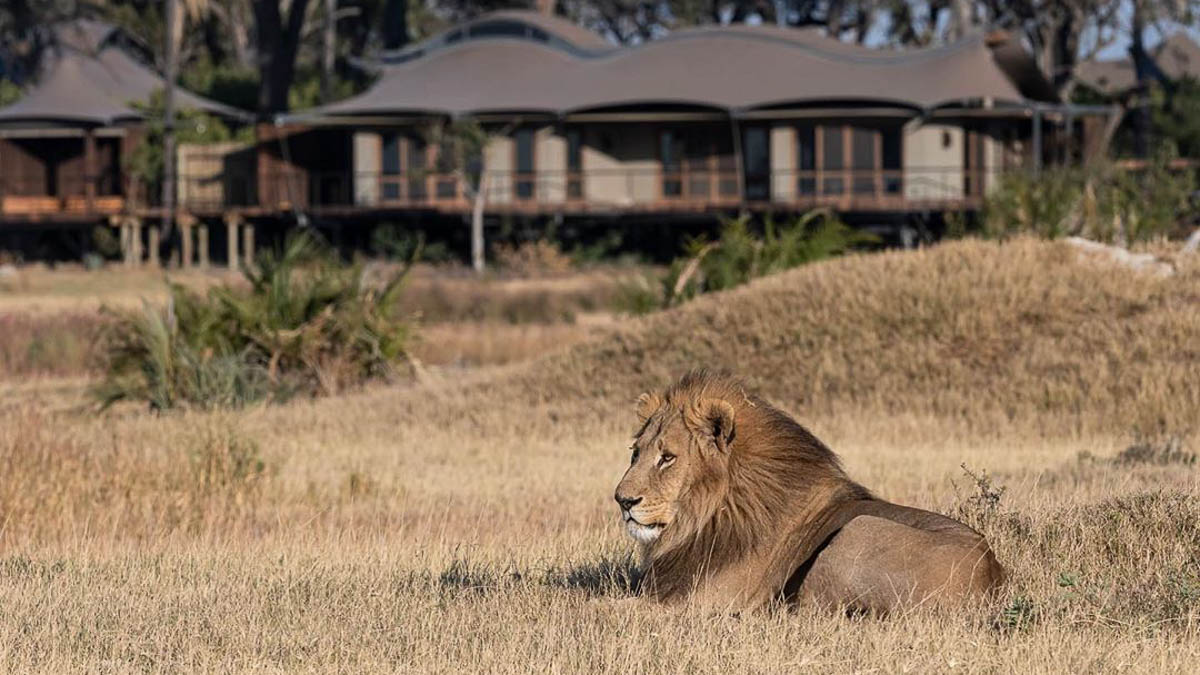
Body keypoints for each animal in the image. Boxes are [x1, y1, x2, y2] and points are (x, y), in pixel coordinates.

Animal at [614, 369, 1008, 612]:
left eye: (667, 457)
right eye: (636, 453)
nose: (623, 501)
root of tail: (991, 577)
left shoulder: (698, 600)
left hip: (856, 532)